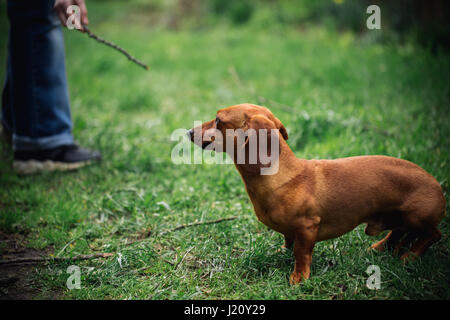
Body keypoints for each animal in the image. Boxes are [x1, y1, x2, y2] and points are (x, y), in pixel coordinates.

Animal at [187, 104, 446, 284]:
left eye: (219, 120)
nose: (189, 131)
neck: (283, 177)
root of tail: (437, 185)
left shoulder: (307, 227)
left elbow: (301, 253)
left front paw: (299, 278)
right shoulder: (292, 231)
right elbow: (288, 241)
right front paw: (282, 252)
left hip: (415, 216)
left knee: (433, 235)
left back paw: (411, 256)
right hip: (396, 218)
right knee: (399, 232)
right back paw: (380, 247)